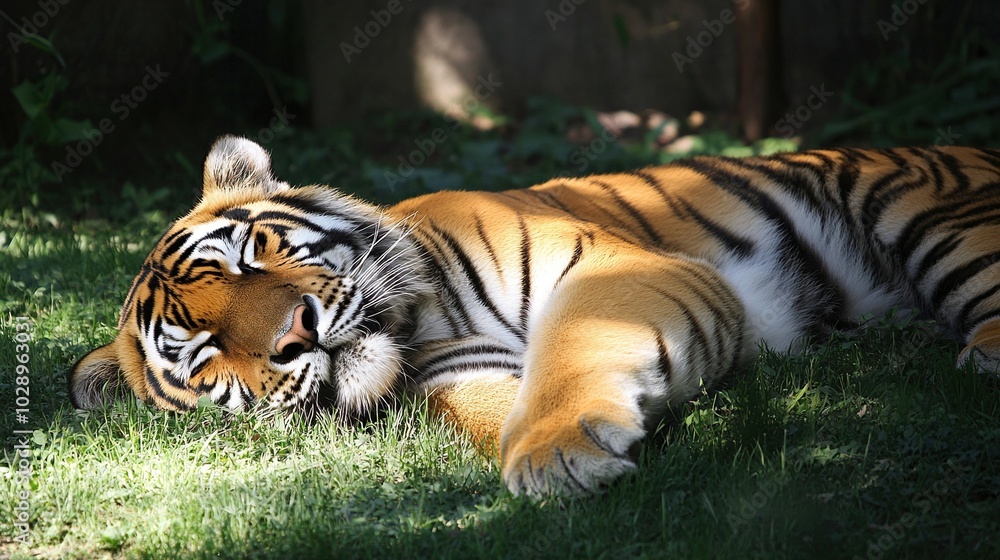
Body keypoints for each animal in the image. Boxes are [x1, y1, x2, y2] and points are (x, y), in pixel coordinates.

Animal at [69, 136, 1000, 497]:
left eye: (251, 254)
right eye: (204, 351)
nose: (296, 331)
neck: (420, 328)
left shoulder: (609, 269)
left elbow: (573, 351)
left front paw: (556, 454)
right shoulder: (465, 374)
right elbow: (501, 410)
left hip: (925, 216)